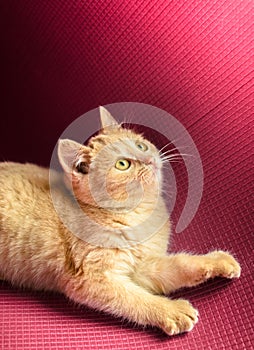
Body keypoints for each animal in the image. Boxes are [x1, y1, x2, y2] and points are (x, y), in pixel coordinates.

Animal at [0, 107, 240, 336]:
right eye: (122, 164)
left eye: (141, 145)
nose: (149, 160)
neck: (137, 215)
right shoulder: (93, 278)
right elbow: (135, 299)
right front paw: (171, 310)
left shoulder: (142, 267)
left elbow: (179, 265)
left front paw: (216, 261)